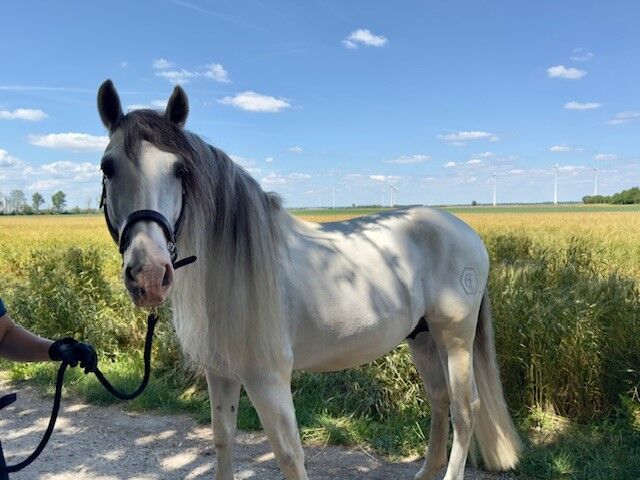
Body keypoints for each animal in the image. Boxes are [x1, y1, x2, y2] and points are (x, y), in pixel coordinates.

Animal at [99, 79, 520, 480]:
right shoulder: (220, 372)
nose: (149, 274)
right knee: (440, 400)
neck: (232, 272)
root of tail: (467, 232)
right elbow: (223, 439)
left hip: (455, 340)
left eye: (180, 170)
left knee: (466, 409)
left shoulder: (268, 379)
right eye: (108, 167)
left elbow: (289, 456)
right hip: (423, 337)